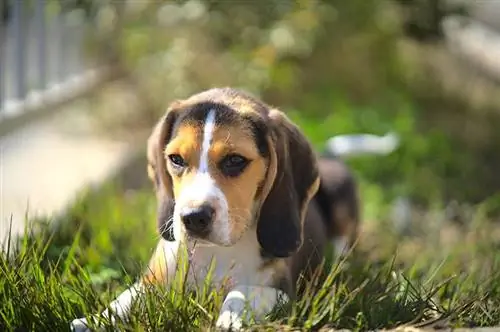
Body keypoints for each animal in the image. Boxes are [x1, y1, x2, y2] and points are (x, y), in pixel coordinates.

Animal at [70, 87, 360, 332]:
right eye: (176, 159)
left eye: (235, 160)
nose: (193, 218)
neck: (218, 252)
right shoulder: (154, 280)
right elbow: (127, 298)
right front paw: (94, 320)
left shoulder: (285, 293)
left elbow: (241, 291)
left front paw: (230, 320)